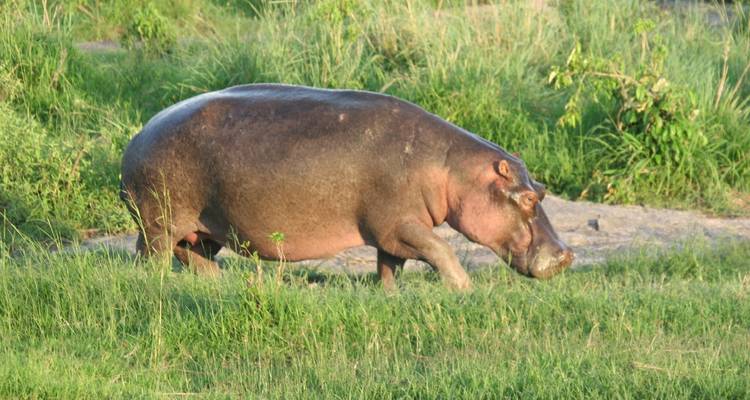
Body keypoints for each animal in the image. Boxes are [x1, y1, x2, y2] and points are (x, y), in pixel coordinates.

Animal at [120, 84, 573, 289]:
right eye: (528, 197)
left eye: (543, 190)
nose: (566, 255)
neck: (452, 170)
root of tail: (139, 135)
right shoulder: (400, 224)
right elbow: (439, 248)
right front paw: (464, 289)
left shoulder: (392, 229)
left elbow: (391, 264)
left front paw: (390, 294)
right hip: (158, 222)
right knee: (153, 256)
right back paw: (158, 283)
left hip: (206, 227)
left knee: (194, 254)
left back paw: (219, 283)